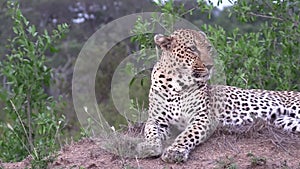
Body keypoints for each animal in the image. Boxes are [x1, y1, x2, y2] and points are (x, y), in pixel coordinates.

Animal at [137, 28, 300, 163]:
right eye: (192, 49)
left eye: (208, 48)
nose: (210, 66)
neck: (176, 85)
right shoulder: (157, 119)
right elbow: (150, 132)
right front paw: (149, 146)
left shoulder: (202, 117)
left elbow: (187, 134)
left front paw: (175, 151)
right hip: (283, 121)